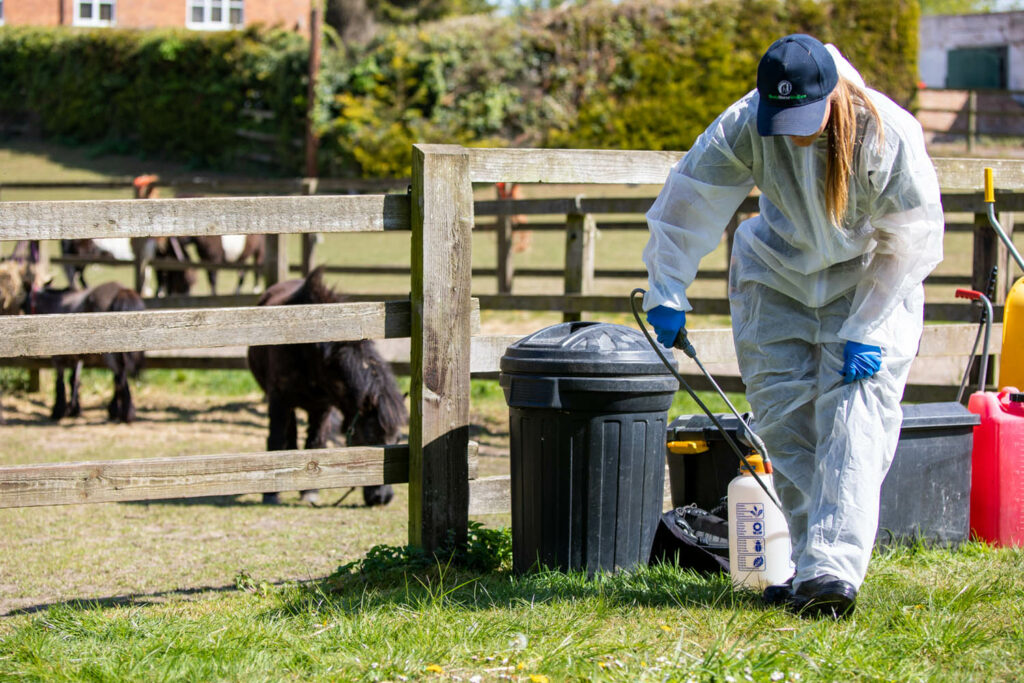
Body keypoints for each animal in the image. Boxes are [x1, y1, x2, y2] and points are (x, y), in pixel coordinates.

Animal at [27, 278, 146, 419]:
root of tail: (121, 290)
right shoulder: (77, 357)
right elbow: (74, 380)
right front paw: (74, 409)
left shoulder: (58, 358)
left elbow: (60, 382)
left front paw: (59, 410)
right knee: (120, 376)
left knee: (119, 377)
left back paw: (123, 412)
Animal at [245, 266, 405, 507]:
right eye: (370, 439)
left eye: (397, 440)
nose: (382, 498)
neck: (313, 352)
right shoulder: (279, 400)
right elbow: (276, 439)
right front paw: (271, 494)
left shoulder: (323, 406)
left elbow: (316, 442)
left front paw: (310, 492)